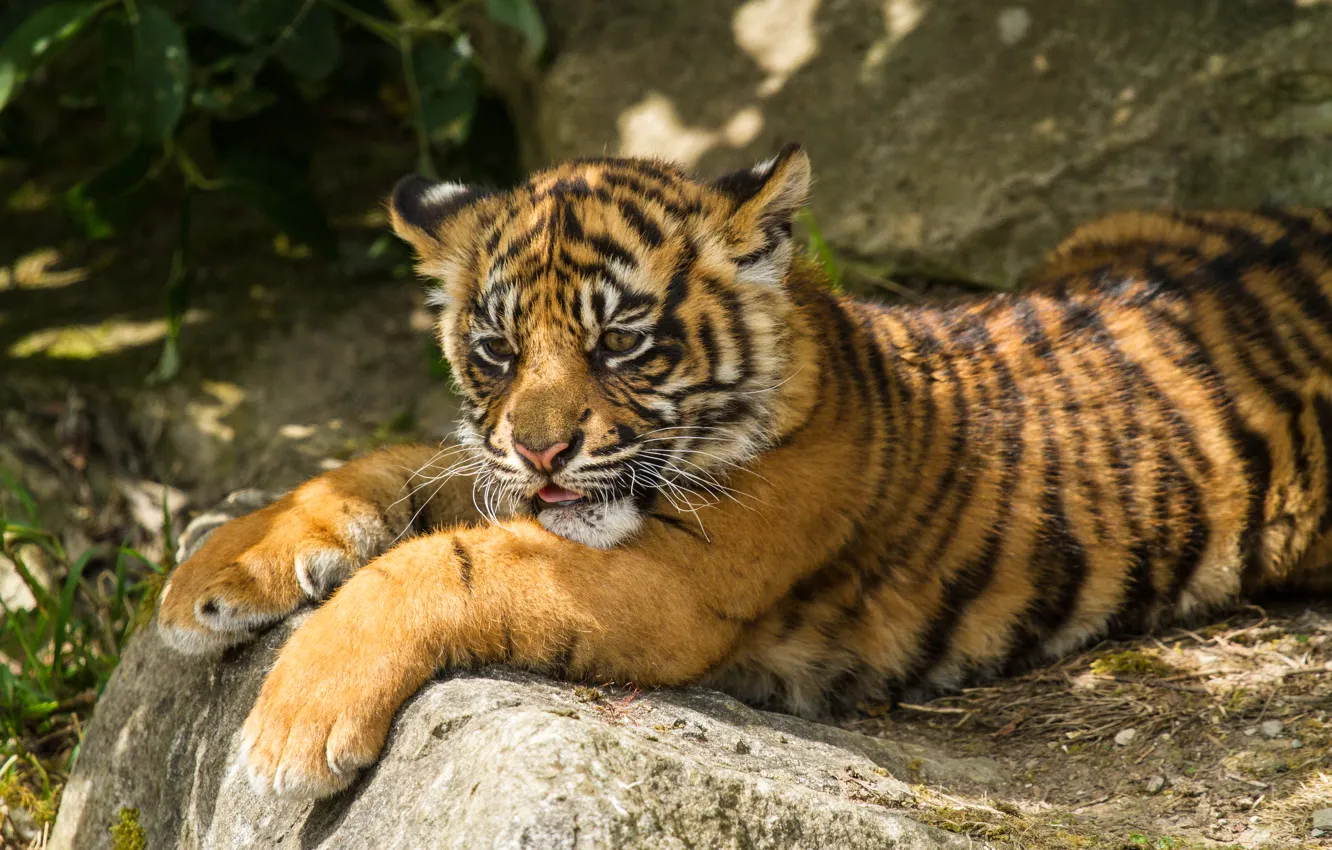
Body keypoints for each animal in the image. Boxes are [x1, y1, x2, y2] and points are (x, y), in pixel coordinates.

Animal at [156, 143, 1332, 799]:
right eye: (495, 347)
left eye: (621, 342)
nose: (541, 449)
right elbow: (388, 464)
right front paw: (209, 578)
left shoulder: (665, 583)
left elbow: (442, 566)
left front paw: (293, 724)